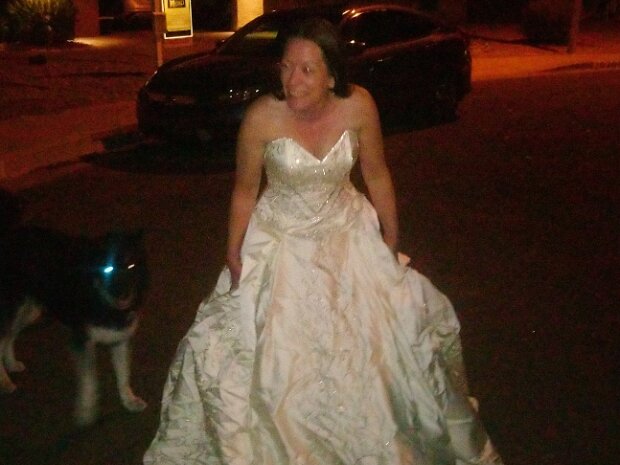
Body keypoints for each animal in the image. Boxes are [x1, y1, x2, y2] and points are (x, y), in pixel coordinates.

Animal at [1, 194, 149, 426]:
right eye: (107, 269)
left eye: (131, 266)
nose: (123, 295)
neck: (102, 300)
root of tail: (11, 234)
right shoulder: (81, 341)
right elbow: (89, 380)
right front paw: (87, 411)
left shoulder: (120, 339)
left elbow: (124, 374)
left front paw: (129, 400)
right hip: (13, 307)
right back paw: (4, 381)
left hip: (29, 311)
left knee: (9, 337)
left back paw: (11, 364)